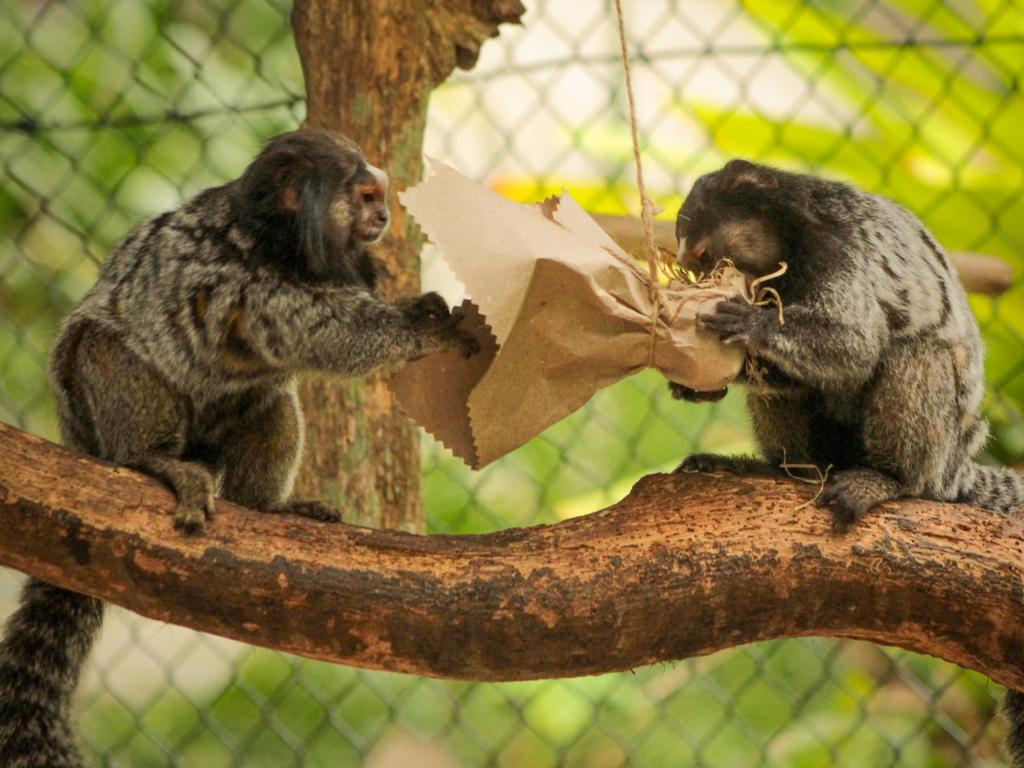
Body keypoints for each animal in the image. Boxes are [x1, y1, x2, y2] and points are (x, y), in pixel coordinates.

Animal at [0, 129, 477, 768]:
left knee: (269, 397)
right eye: (367, 195)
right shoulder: (248, 280)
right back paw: (151, 460)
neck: (276, 241)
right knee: (105, 347)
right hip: (88, 397)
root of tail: (75, 438)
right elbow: (334, 334)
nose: (382, 217)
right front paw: (427, 323)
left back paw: (265, 505)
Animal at [671, 157, 1024, 768]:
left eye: (705, 256)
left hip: (938, 449)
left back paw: (887, 480)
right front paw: (696, 383)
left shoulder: (840, 251)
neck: (789, 239)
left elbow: (854, 347)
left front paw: (752, 323)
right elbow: (790, 376)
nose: (697, 275)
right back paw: (783, 471)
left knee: (913, 352)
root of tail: (956, 466)